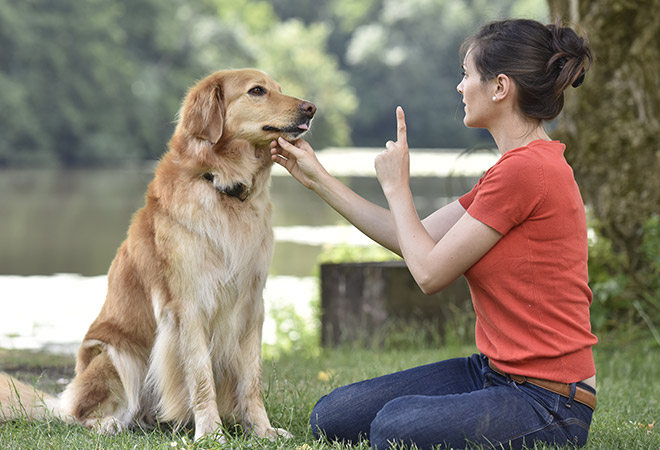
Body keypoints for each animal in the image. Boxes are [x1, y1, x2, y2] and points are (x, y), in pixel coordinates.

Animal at [0, 68, 318, 442]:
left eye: (278, 89)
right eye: (257, 91)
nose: (311, 108)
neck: (221, 186)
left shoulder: (252, 305)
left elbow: (252, 379)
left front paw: (262, 430)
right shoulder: (189, 306)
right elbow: (200, 375)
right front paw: (211, 433)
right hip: (116, 355)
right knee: (78, 416)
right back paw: (107, 424)